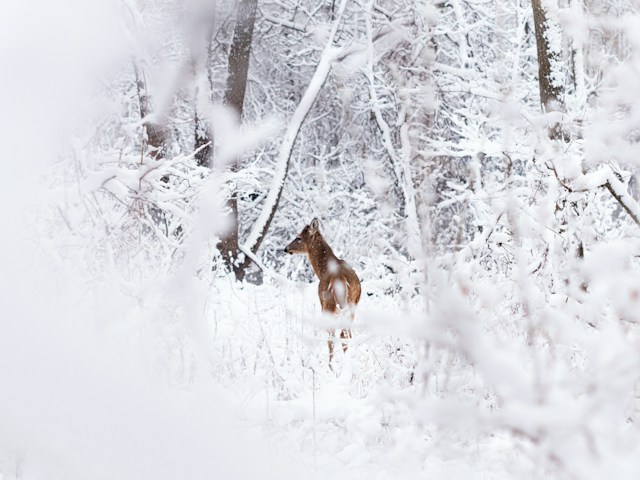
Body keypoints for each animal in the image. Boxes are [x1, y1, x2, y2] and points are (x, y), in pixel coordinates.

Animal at [284, 219, 360, 370]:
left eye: (299, 237)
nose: (286, 248)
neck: (323, 269)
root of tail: (340, 279)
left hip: (328, 305)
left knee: (334, 337)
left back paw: (331, 367)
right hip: (352, 304)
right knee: (347, 334)